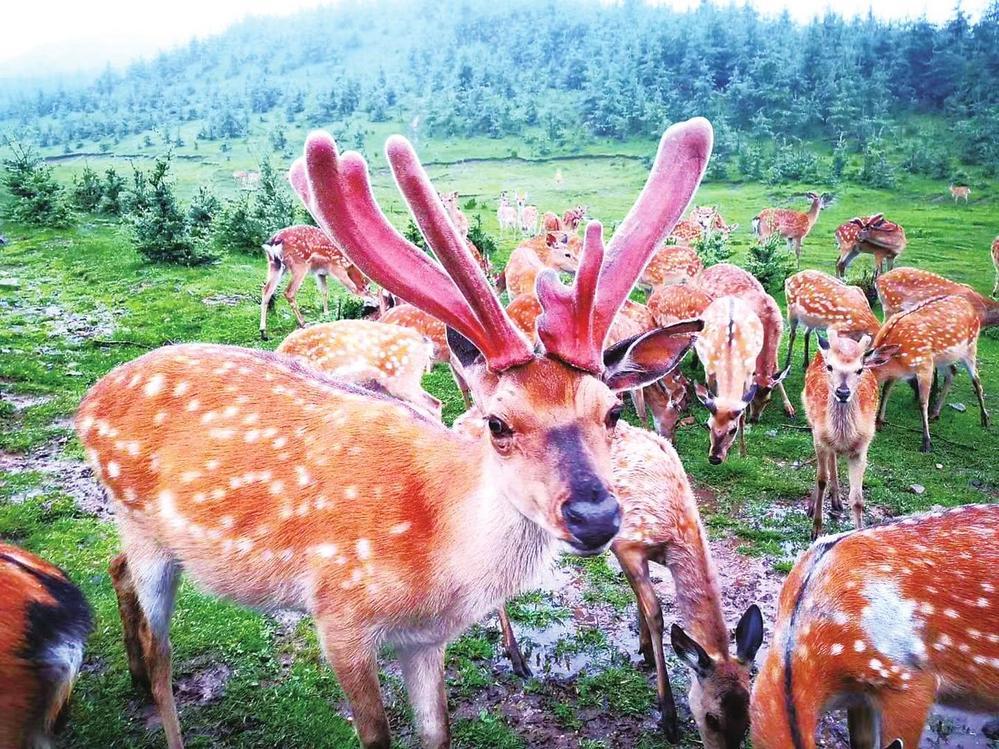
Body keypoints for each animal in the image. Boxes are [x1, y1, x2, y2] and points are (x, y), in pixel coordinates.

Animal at [694, 296, 764, 464]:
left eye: (733, 429)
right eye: (708, 425)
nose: (714, 458)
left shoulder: (748, 374)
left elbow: (743, 415)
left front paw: (742, 452)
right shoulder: (709, 371)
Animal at [801, 329, 898, 540]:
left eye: (859, 370)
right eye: (830, 366)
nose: (843, 392)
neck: (843, 437)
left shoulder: (862, 449)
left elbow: (857, 499)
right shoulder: (819, 438)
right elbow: (821, 479)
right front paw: (816, 528)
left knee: (833, 458)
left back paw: (837, 500)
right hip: (811, 423)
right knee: (826, 464)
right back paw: (814, 505)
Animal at [873, 294, 990, 452]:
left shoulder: (925, 365)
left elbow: (923, 402)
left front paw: (926, 442)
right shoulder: (897, 373)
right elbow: (886, 390)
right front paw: (879, 421)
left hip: (970, 348)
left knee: (976, 380)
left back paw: (985, 419)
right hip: (943, 359)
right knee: (952, 371)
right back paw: (935, 413)